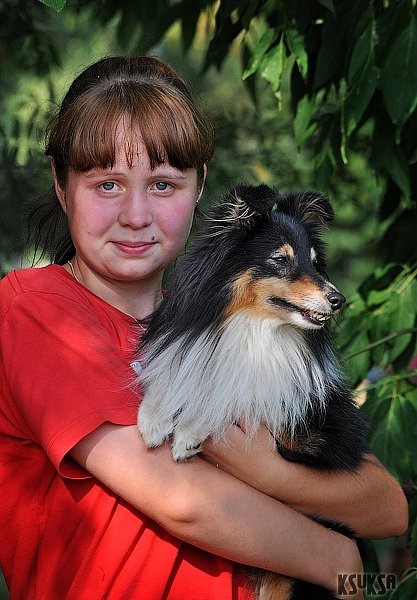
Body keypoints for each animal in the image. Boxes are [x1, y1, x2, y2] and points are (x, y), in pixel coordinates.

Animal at [137, 183, 369, 599]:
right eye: (279, 259)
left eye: (315, 263)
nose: (338, 299)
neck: (254, 329)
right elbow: (179, 377)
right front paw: (154, 418)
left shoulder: (323, 432)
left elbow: (244, 395)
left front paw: (190, 431)